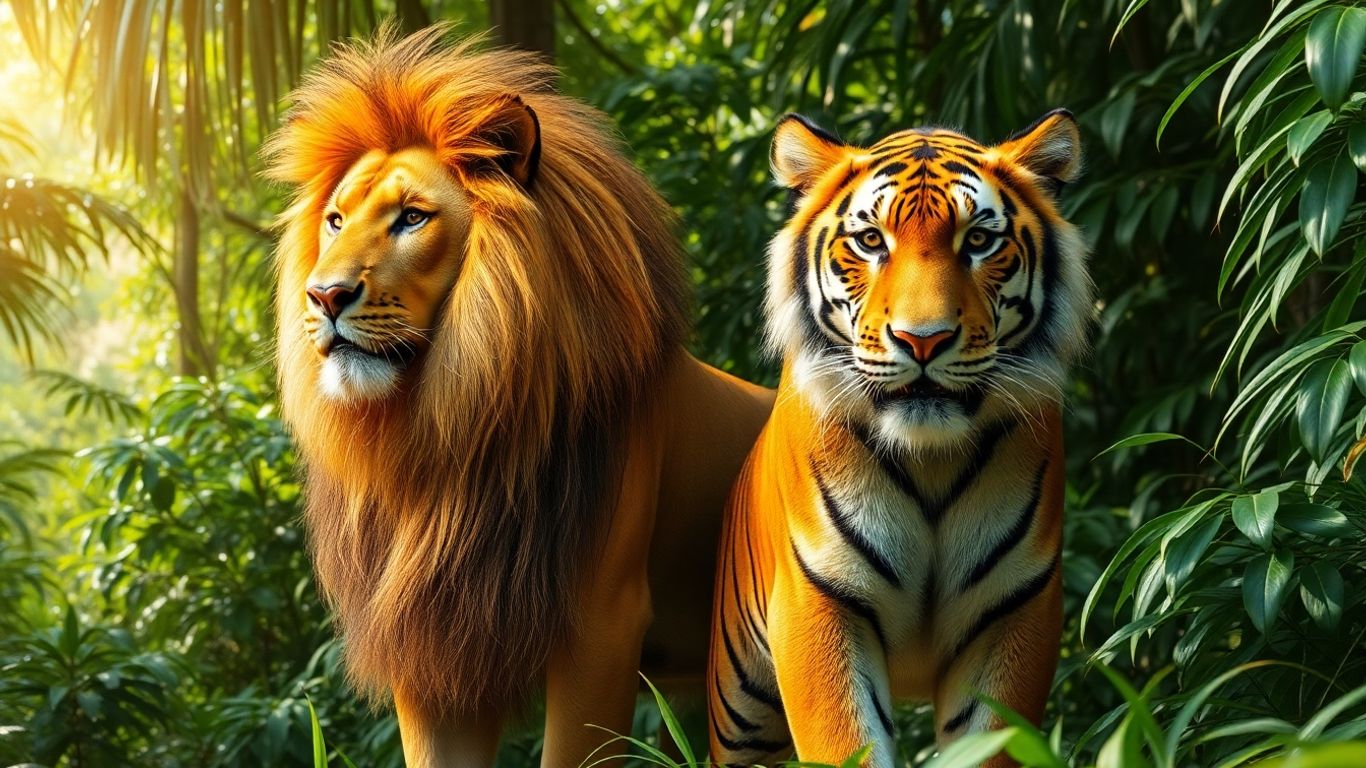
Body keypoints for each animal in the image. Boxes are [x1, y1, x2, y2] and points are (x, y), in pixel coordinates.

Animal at [263, 24, 773, 767]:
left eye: (411, 218)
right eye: (334, 220)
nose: (324, 296)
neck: (446, 436)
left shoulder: (602, 628)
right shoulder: (433, 648)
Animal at [706, 110, 1090, 767]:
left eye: (979, 241)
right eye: (870, 241)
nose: (923, 340)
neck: (929, 459)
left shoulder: (1014, 609)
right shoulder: (820, 601)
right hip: (740, 712)